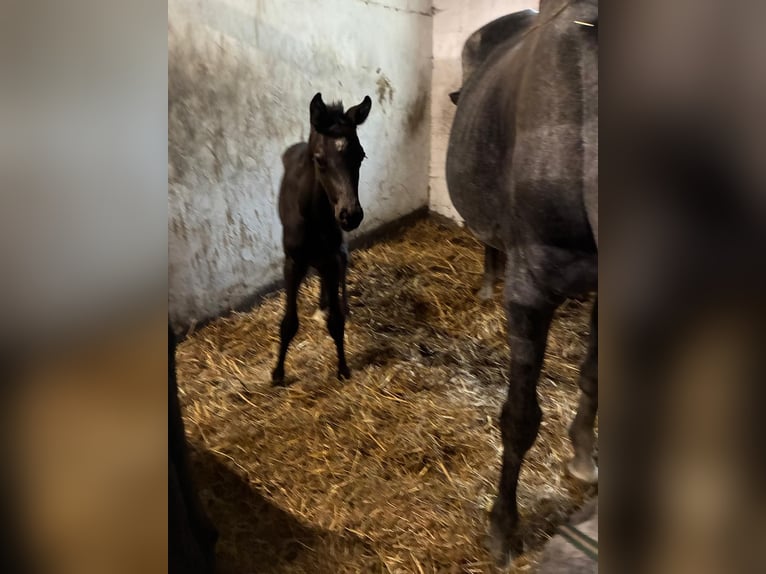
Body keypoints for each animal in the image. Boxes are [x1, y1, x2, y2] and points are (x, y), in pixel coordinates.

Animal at [272, 92, 372, 386]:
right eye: (319, 159)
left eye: (360, 156)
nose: (350, 214)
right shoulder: (293, 262)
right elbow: (289, 323)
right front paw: (278, 374)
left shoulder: (330, 255)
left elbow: (336, 322)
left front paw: (343, 369)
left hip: (336, 251)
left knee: (343, 263)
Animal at [445, 0, 598, 566]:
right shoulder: (532, 291)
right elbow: (519, 418)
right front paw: (504, 528)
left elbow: (593, 372)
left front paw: (582, 453)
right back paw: (489, 282)